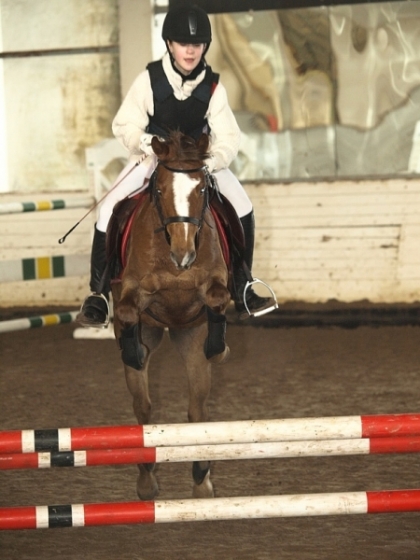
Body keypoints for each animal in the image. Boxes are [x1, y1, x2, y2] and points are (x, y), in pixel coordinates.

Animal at [110, 130, 231, 498]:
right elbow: (127, 312)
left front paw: (220, 348)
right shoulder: (132, 292)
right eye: (160, 190)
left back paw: (201, 478)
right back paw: (147, 480)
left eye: (202, 189)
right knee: (144, 408)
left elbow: (218, 299)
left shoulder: (211, 288)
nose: (183, 254)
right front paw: (134, 349)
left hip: (189, 338)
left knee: (196, 411)